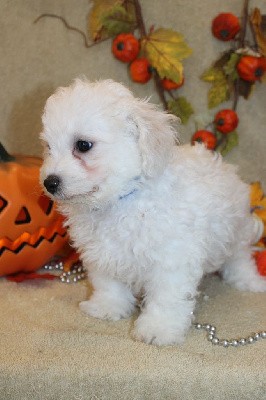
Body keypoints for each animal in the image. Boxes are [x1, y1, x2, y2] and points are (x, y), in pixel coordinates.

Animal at [40, 79, 266, 346]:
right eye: (48, 147)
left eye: (83, 145)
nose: (49, 182)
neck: (122, 200)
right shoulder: (102, 253)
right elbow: (109, 284)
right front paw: (107, 307)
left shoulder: (171, 258)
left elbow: (166, 297)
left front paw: (159, 328)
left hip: (235, 231)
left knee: (240, 258)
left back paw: (249, 280)